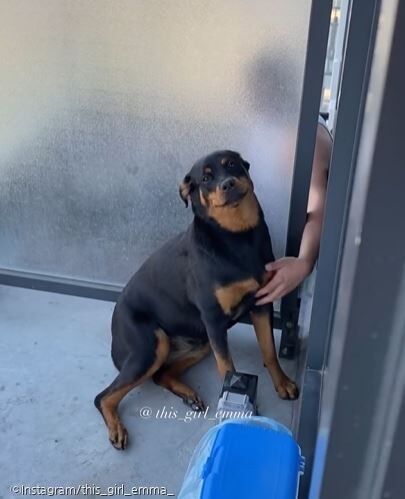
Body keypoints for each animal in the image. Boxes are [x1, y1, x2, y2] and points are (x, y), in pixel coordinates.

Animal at [94, 150, 298, 450]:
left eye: (232, 165)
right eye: (205, 178)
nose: (228, 184)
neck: (236, 236)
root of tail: (115, 321)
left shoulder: (262, 304)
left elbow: (269, 351)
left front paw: (282, 382)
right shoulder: (213, 319)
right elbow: (227, 368)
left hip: (200, 343)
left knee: (161, 374)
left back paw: (187, 394)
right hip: (151, 346)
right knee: (103, 397)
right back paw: (117, 428)